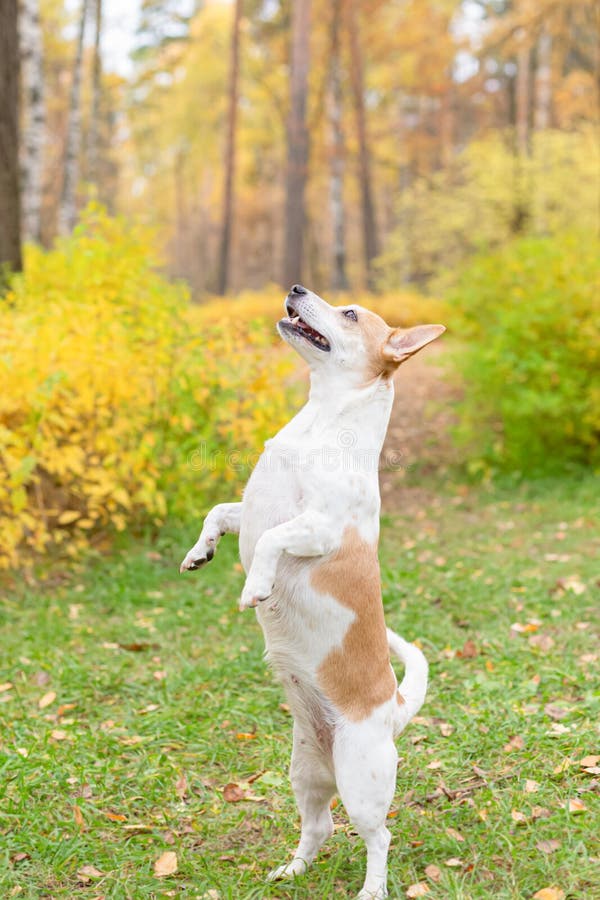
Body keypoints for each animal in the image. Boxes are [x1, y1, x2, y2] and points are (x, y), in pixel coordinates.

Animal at [182, 286, 446, 900]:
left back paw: (372, 889)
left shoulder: (318, 528)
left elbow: (270, 542)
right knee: (319, 826)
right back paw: (292, 869)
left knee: (378, 837)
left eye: (350, 314)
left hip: (361, 781)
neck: (320, 422)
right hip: (304, 771)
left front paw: (256, 585)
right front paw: (199, 552)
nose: (297, 289)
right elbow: (220, 513)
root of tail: (394, 709)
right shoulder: (247, 510)